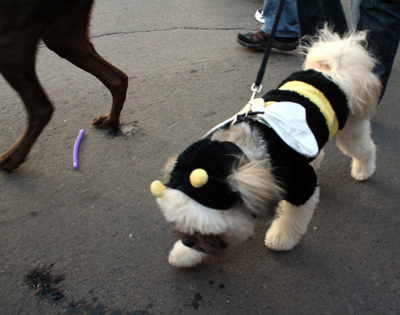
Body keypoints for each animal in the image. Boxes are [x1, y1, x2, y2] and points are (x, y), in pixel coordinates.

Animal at [0, 0, 127, 173]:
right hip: (63, 35)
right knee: (117, 78)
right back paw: (111, 120)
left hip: (12, 42)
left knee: (42, 108)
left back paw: (13, 158)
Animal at [149, 27, 382, 270]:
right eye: (181, 224)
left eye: (208, 231)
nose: (186, 240)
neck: (243, 152)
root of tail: (332, 72)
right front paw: (184, 253)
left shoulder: (301, 185)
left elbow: (291, 220)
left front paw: (281, 239)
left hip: (351, 129)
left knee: (365, 148)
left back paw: (364, 170)